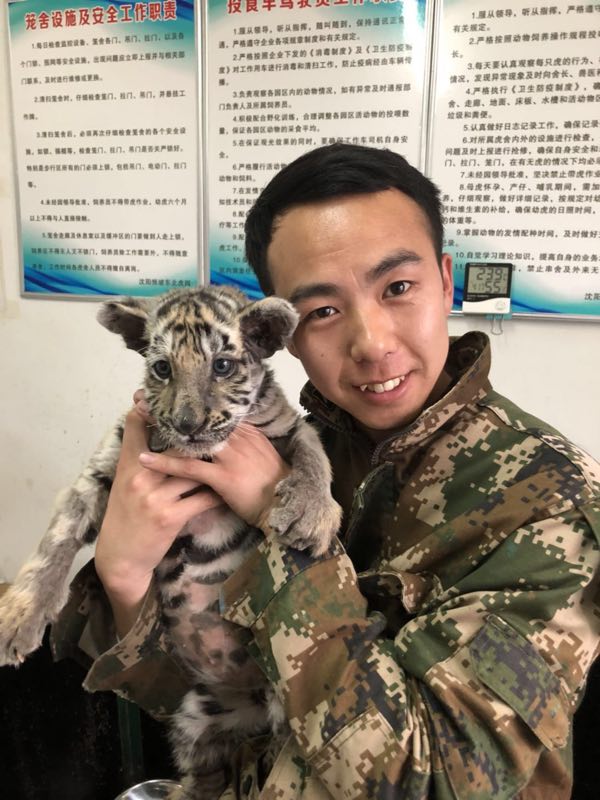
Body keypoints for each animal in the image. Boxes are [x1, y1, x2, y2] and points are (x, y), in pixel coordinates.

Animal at [0, 285, 342, 799]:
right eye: (162, 368)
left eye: (222, 365)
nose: (186, 423)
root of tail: (249, 703)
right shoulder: (106, 464)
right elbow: (59, 534)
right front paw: (21, 615)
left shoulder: (289, 427)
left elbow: (313, 451)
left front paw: (312, 510)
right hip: (196, 720)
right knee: (206, 775)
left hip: (281, 725)